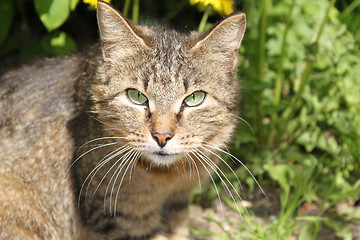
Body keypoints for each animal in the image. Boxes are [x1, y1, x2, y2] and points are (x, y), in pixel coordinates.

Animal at [0, 1, 246, 238]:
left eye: (194, 98)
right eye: (136, 96)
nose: (162, 136)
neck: (167, 179)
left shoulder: (178, 203)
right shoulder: (118, 218)